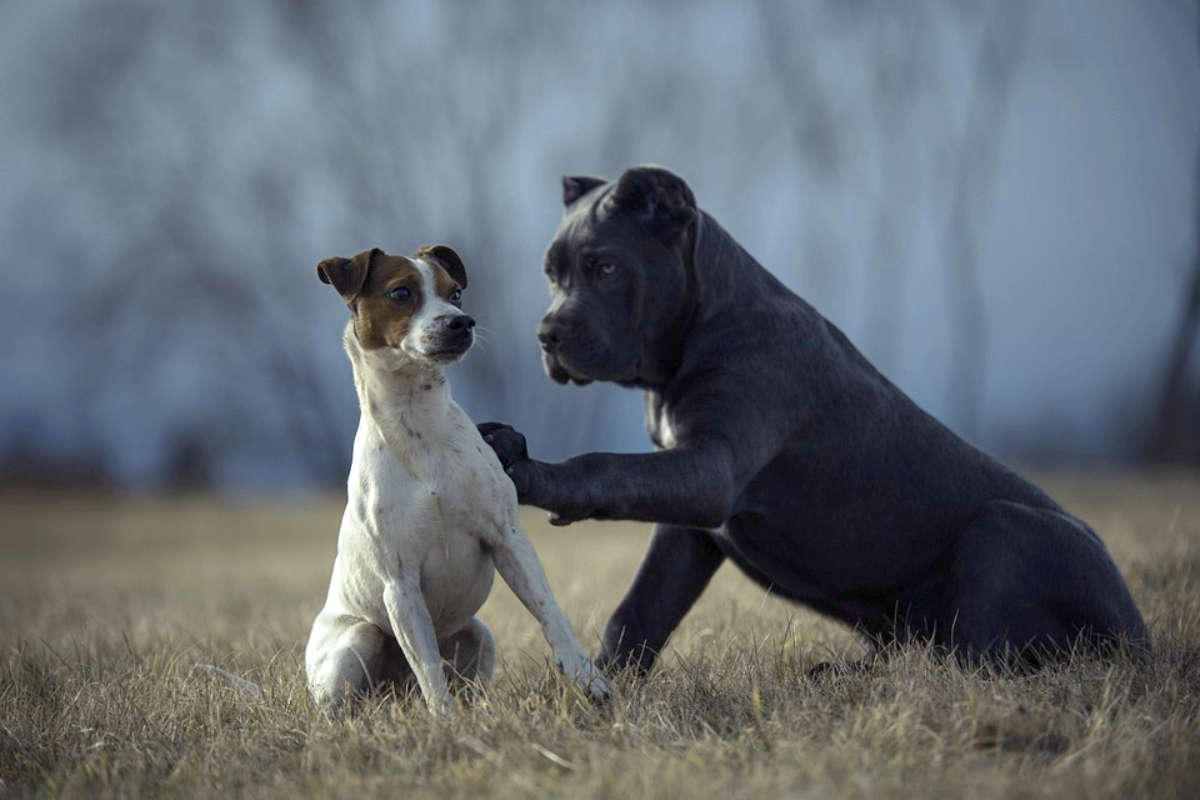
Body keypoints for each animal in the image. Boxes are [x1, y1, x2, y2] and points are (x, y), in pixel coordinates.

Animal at [307, 247, 609, 714]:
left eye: (456, 293)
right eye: (401, 292)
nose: (461, 322)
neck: (418, 426)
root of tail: (397, 692)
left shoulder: (508, 539)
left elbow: (550, 612)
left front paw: (586, 677)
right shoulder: (400, 586)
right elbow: (429, 667)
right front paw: (445, 721)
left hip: (478, 635)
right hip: (358, 639)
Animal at [477, 165, 1142, 671]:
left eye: (606, 268)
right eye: (552, 274)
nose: (546, 334)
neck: (698, 327)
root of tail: (1142, 637)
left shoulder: (710, 470)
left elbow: (604, 467)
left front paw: (529, 470)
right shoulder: (687, 528)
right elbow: (637, 610)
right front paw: (602, 690)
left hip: (1002, 531)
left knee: (983, 657)